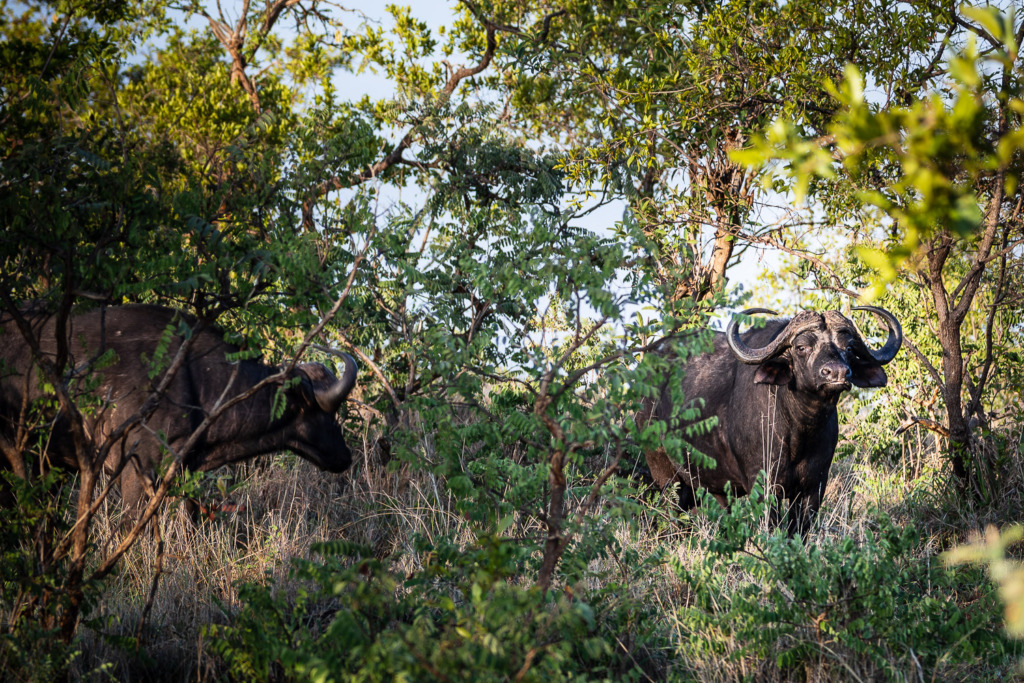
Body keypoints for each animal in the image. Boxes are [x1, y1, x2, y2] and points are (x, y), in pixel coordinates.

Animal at [636, 306, 902, 535]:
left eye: (847, 347)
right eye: (801, 347)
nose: (836, 373)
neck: (799, 431)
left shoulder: (814, 488)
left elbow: (798, 532)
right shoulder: (763, 487)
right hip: (664, 474)